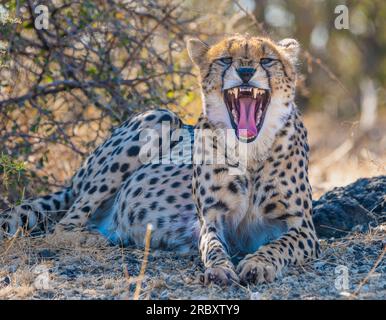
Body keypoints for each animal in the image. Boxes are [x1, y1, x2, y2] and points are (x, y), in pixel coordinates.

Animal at [0, 35, 320, 284]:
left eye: (267, 60)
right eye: (225, 59)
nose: (244, 71)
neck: (249, 152)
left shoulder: (303, 228)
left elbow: (279, 245)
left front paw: (258, 263)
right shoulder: (210, 219)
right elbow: (213, 247)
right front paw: (219, 269)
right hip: (160, 117)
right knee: (60, 227)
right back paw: (94, 238)